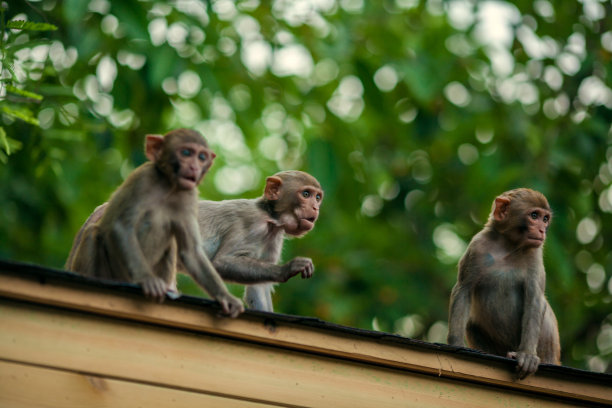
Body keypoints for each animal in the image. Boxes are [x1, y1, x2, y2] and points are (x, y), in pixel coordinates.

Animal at [65, 169, 326, 312]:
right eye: (305, 194)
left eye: (317, 197)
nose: (315, 207)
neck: (269, 217)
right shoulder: (250, 225)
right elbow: (222, 262)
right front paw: (288, 269)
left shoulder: (274, 238)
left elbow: (258, 289)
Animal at [67, 129, 244, 318]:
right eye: (186, 153)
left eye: (201, 157)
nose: (194, 167)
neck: (169, 186)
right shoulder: (142, 180)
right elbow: (122, 227)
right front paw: (147, 279)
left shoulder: (189, 196)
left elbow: (191, 252)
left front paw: (225, 297)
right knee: (93, 232)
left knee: (171, 242)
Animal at [448, 188, 560, 380]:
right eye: (534, 215)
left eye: (545, 219)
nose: (542, 230)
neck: (508, 245)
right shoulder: (477, 247)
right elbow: (463, 289)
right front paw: (456, 344)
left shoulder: (535, 255)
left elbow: (534, 299)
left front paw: (527, 355)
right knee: (471, 323)